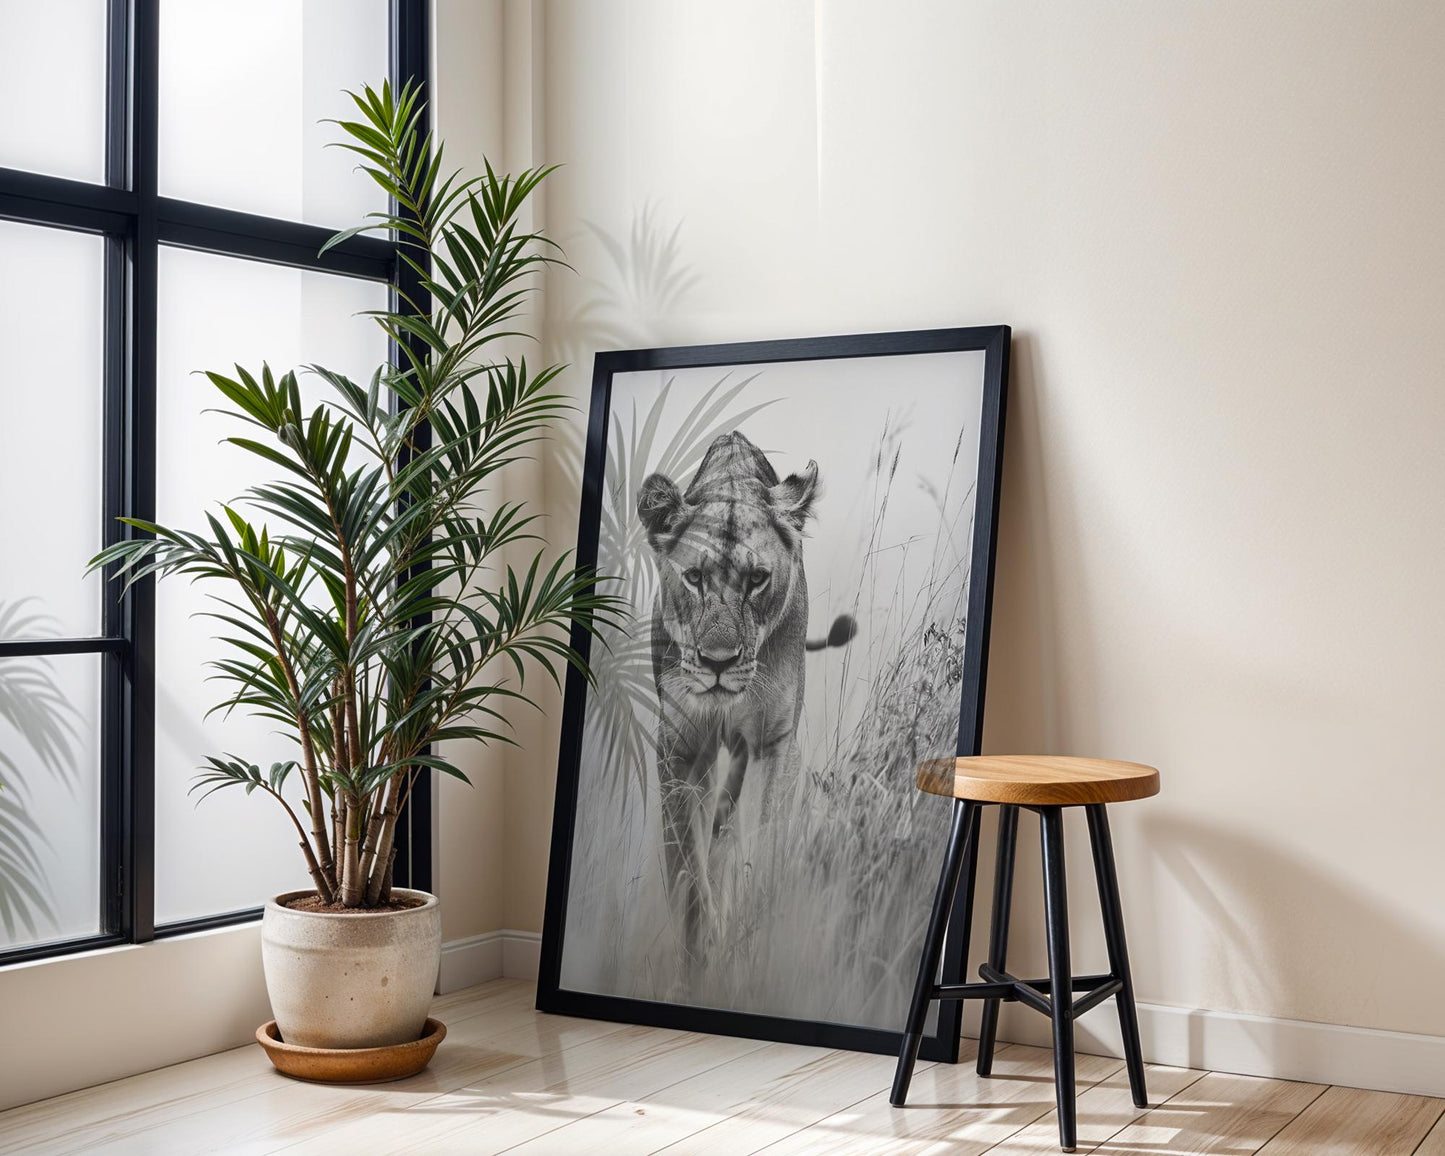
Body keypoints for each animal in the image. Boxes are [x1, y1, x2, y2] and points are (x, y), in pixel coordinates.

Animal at [636, 430, 854, 964]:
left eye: (756, 579)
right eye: (694, 578)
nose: (717, 662)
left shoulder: (774, 743)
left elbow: (765, 844)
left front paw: (751, 935)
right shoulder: (677, 745)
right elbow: (687, 868)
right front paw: (700, 948)